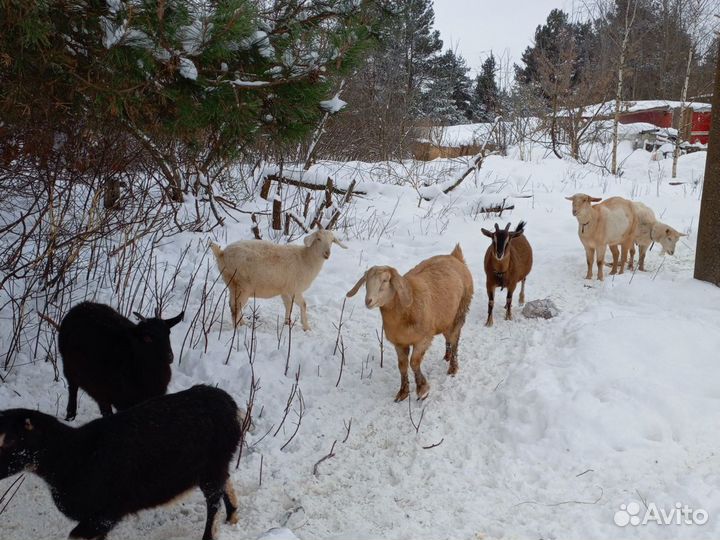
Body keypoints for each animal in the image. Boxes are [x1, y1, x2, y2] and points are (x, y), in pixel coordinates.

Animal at [0, 384, 243, 540]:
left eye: (9, 440)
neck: (73, 457)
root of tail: (230, 404)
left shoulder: (105, 513)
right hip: (215, 463)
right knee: (226, 482)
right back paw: (233, 516)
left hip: (212, 465)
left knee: (213, 502)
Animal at [210, 229, 348, 332]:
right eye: (318, 239)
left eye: (332, 241)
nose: (327, 253)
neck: (305, 258)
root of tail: (221, 254)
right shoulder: (294, 289)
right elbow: (303, 304)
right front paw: (306, 327)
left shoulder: (285, 290)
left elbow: (288, 305)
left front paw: (287, 323)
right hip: (242, 285)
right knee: (235, 307)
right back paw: (237, 328)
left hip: (232, 284)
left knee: (233, 304)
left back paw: (242, 323)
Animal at [348, 245, 472, 400]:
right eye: (366, 281)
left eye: (385, 280)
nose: (368, 301)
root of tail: (455, 257)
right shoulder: (399, 343)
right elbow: (402, 365)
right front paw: (403, 392)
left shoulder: (424, 338)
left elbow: (414, 362)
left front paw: (422, 389)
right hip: (445, 319)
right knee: (448, 338)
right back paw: (447, 357)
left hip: (460, 311)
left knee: (455, 338)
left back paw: (453, 368)